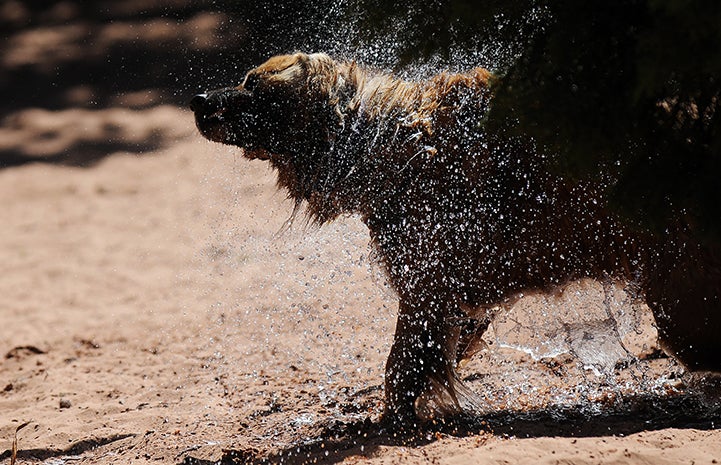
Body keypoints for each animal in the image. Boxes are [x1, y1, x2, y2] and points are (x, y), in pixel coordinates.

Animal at [191, 52, 720, 426]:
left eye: (253, 86)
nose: (198, 100)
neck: (388, 145)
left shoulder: (426, 279)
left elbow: (402, 362)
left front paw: (394, 418)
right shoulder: (450, 285)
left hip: (678, 292)